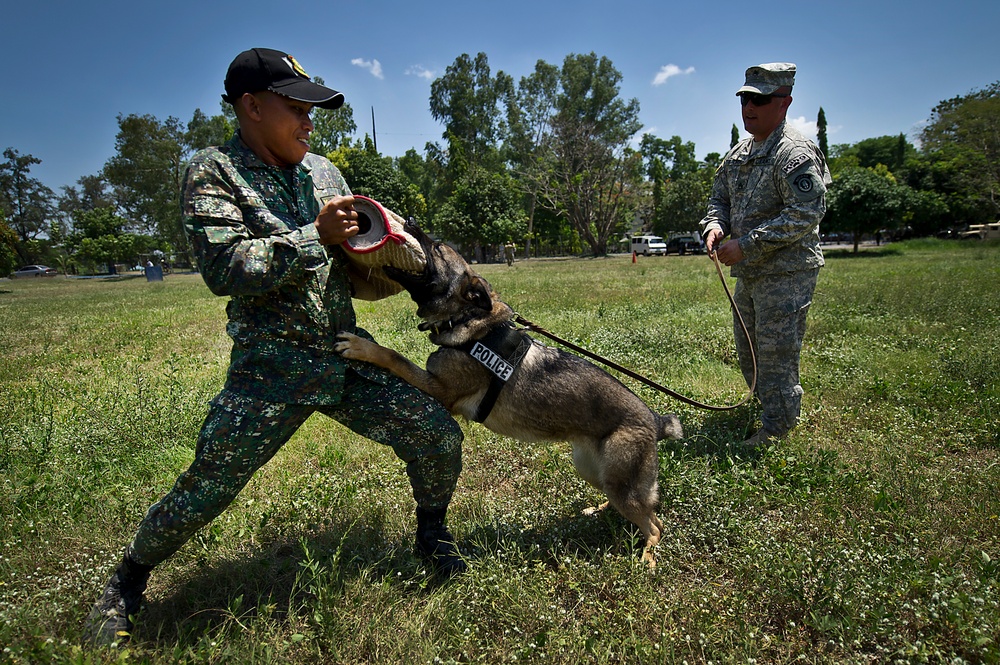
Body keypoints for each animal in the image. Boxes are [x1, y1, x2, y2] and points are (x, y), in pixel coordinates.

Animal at [334, 223, 680, 564]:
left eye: (438, 248)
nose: (409, 221)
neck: (469, 319)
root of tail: (654, 421)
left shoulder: (440, 390)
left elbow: (394, 356)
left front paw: (362, 347)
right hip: (593, 470)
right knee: (639, 507)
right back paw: (600, 509)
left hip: (621, 483)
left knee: (656, 524)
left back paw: (647, 557)